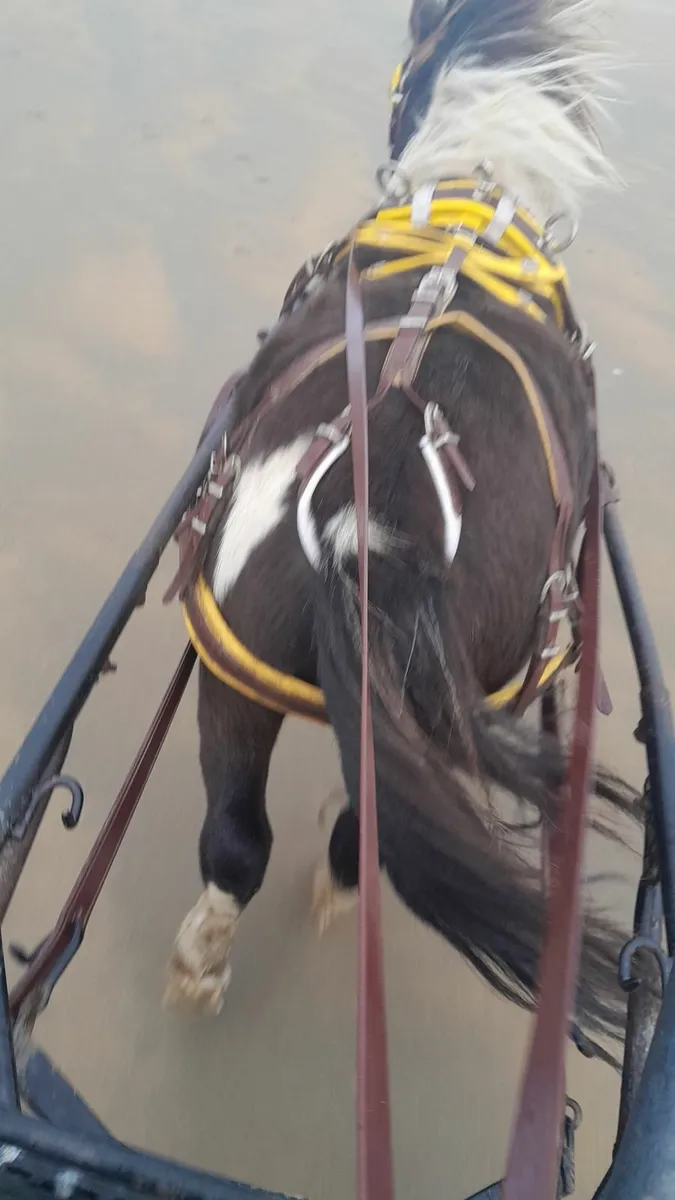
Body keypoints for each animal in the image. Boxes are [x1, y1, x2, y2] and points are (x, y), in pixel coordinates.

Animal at [163, 0, 635, 1063]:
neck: (472, 202)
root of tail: (371, 514)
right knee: (319, 841)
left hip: (245, 685)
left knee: (242, 841)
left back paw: (211, 960)